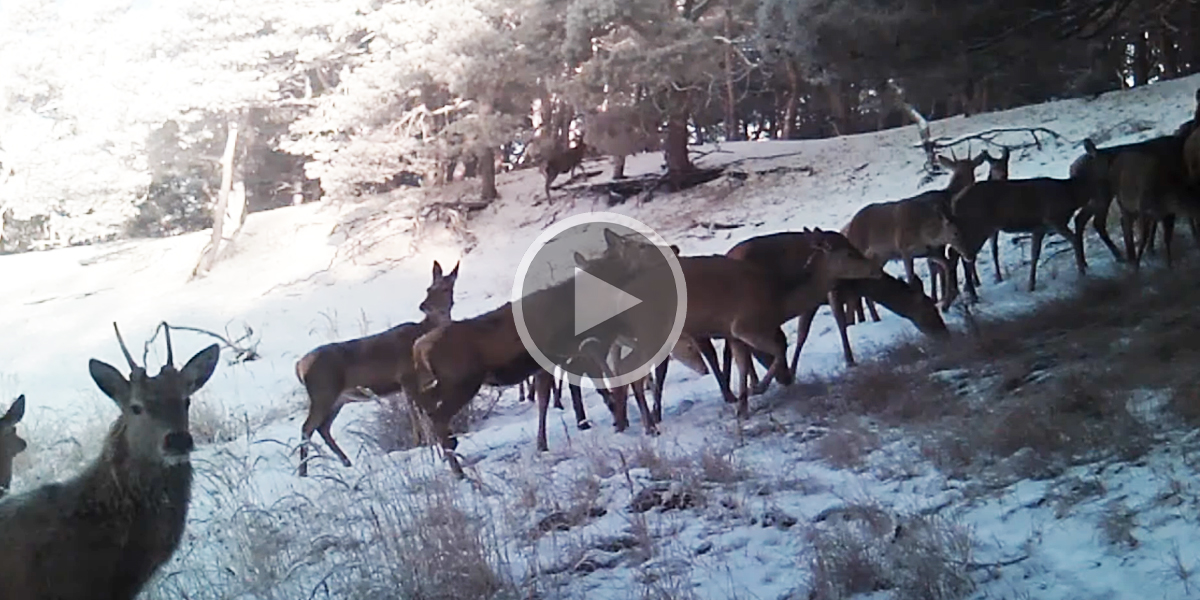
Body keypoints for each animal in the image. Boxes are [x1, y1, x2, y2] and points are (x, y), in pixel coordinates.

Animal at [292, 260, 456, 475]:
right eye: (429, 288)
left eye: (446, 288)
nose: (424, 306)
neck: (422, 333)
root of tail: (299, 366)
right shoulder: (407, 378)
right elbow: (417, 416)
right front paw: (421, 444)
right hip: (323, 393)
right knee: (307, 427)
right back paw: (303, 472)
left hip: (338, 398)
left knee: (323, 427)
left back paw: (346, 462)